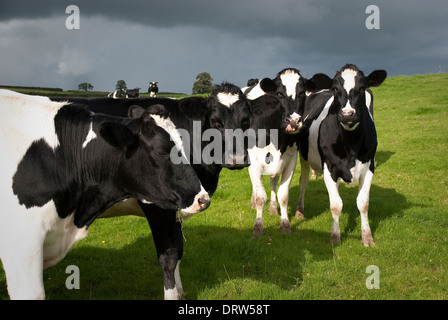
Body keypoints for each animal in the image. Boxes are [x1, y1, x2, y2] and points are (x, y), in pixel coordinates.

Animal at [50, 82, 252, 298]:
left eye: (246, 121)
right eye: (216, 122)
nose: (238, 158)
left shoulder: (179, 205)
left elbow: (179, 250)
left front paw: (180, 293)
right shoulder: (158, 206)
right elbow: (169, 257)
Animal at [243, 69, 330, 236]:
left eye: (302, 93)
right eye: (279, 94)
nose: (294, 121)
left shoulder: (290, 161)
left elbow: (283, 195)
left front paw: (285, 224)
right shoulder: (254, 164)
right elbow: (260, 197)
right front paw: (258, 228)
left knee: (273, 181)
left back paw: (272, 207)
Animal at [296, 64, 386, 245]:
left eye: (362, 87)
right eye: (336, 89)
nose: (347, 114)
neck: (350, 145)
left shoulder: (369, 167)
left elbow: (363, 203)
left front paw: (367, 236)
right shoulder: (329, 169)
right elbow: (336, 204)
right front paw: (335, 236)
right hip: (304, 158)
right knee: (303, 183)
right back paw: (300, 211)